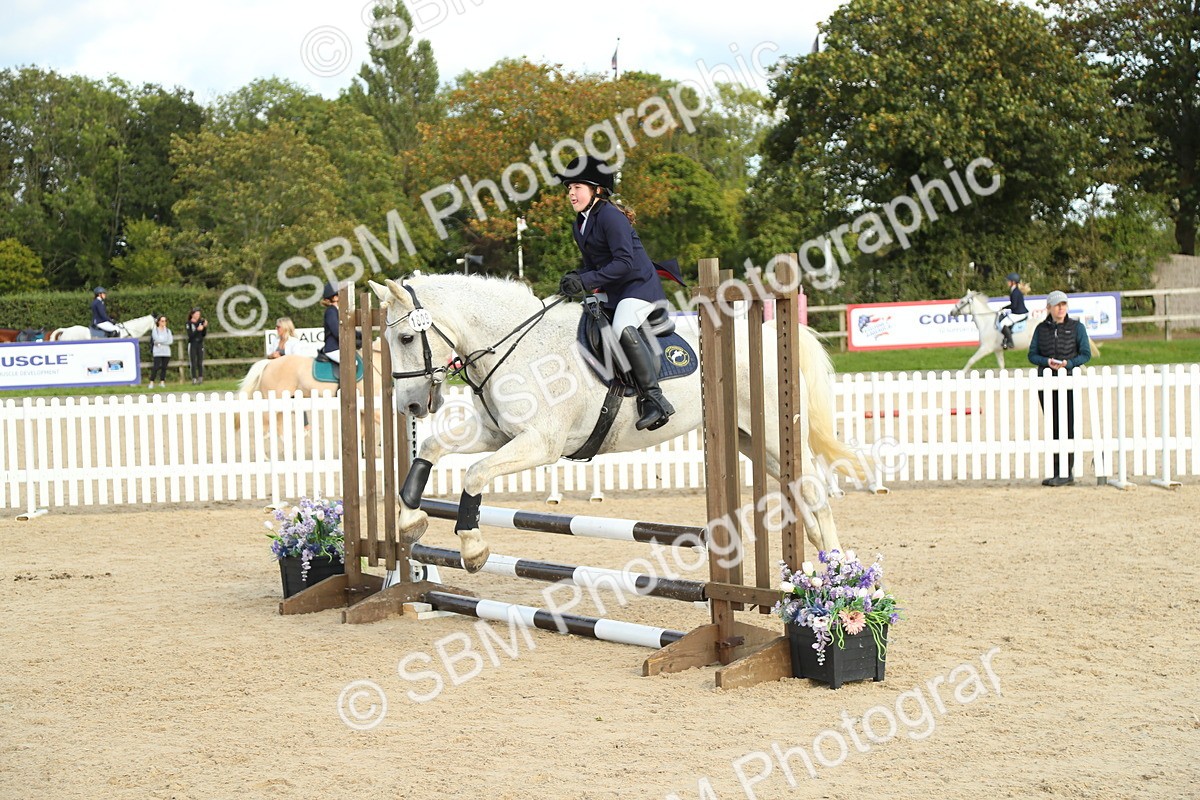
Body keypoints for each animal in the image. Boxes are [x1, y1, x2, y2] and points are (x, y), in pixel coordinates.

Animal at [369, 273, 864, 574]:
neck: (517, 347)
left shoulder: (540, 443)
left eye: (407, 337)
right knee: (800, 493)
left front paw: (472, 548)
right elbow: (430, 449)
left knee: (814, 492)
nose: (410, 406)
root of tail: (768, 335)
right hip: (751, 441)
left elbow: (473, 474)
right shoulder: (499, 434)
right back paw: (822, 566)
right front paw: (409, 519)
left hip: (774, 434)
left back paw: (836, 579)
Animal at [951, 291, 1100, 371]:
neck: (987, 322)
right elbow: (1001, 365)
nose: (952, 312)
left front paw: (962, 373)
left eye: (962, 302)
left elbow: (971, 360)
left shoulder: (985, 348)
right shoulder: (997, 350)